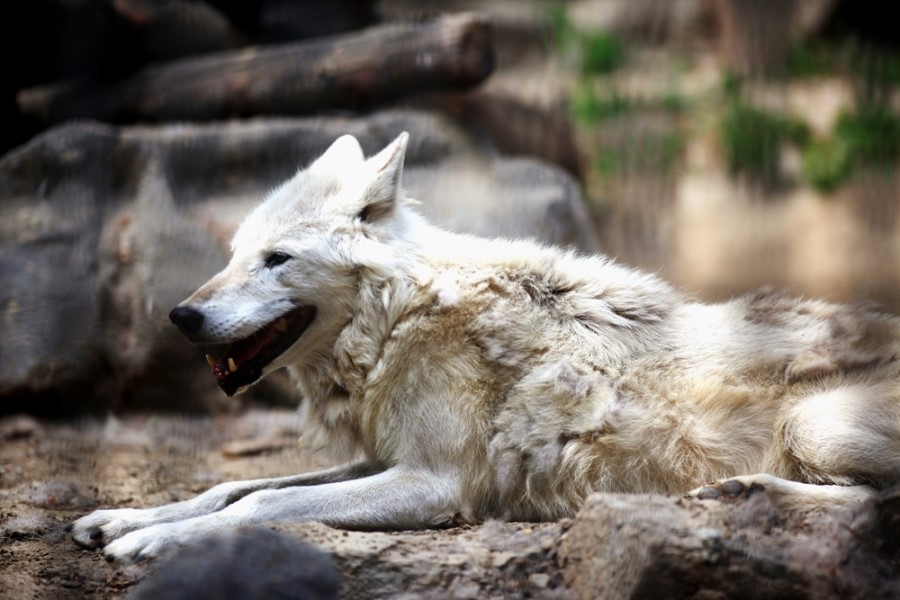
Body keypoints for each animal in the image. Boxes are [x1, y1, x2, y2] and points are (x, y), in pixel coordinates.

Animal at [72, 132, 900, 563]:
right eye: (236, 255)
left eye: (277, 260)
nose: (181, 315)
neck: (398, 320)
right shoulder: (387, 456)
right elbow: (236, 486)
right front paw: (127, 520)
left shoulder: (434, 483)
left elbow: (265, 502)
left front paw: (160, 543)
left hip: (811, 423)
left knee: (878, 506)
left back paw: (746, 493)